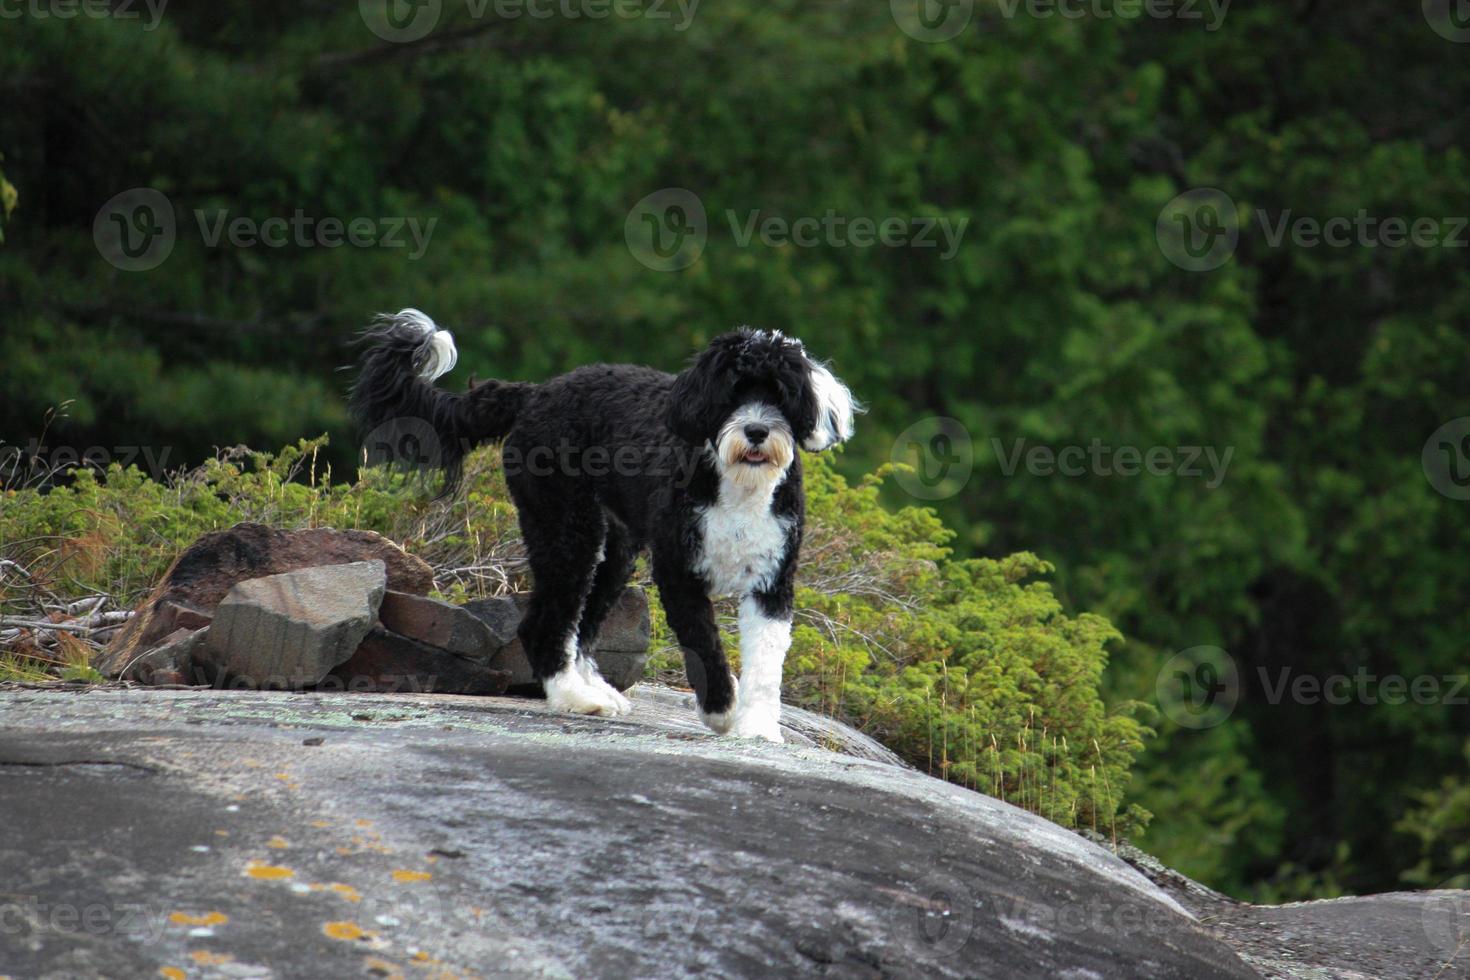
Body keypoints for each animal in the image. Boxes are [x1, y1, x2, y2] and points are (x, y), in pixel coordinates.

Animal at [351, 314, 858, 743]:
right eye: (731, 392)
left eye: (780, 394)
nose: (756, 431)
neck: (736, 485)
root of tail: (534, 394)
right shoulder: (678, 574)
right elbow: (704, 645)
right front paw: (721, 710)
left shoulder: (772, 582)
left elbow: (766, 663)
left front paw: (757, 728)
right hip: (565, 527)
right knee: (544, 624)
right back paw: (575, 698)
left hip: (614, 550)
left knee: (581, 623)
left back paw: (594, 691)